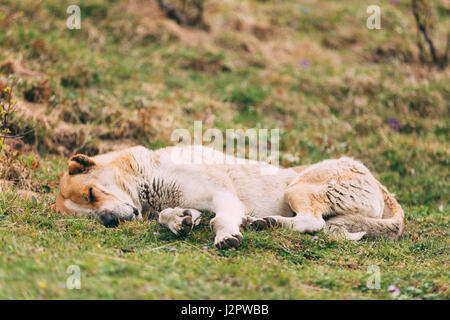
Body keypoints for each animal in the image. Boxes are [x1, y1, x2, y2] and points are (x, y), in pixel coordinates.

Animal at [56, 146, 404, 249]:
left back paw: (267, 223)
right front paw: (180, 221)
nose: (110, 222)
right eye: (89, 213)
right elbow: (170, 215)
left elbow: (220, 219)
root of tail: (383, 188)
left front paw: (225, 235)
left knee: (312, 222)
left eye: (91, 193)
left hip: (298, 188)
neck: (147, 175)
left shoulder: (221, 192)